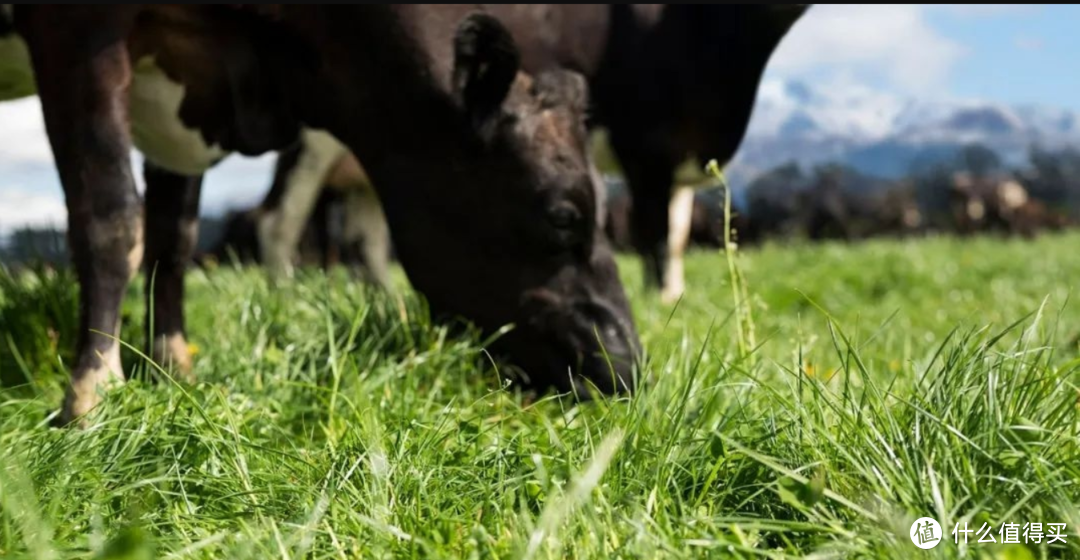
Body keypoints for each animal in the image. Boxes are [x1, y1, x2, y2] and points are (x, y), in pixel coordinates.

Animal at [4, 3, 635, 425]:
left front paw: (172, 370)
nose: (625, 364)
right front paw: (92, 392)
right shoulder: (79, 31)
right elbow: (111, 220)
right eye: (562, 215)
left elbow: (173, 236)